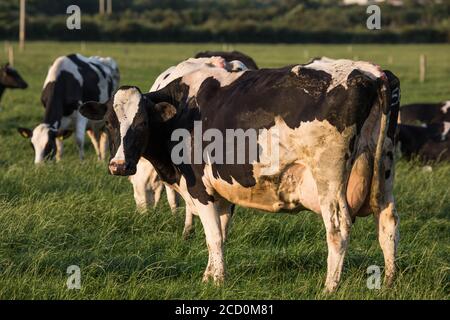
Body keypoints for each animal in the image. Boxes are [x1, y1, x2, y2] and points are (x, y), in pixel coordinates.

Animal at [80, 56, 400, 292]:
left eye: (143, 122)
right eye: (109, 122)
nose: (119, 165)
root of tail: (372, 72)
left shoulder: (200, 189)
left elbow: (213, 237)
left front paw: (217, 281)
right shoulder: (223, 190)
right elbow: (220, 233)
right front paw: (210, 276)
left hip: (329, 179)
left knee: (337, 228)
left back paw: (329, 287)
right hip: (384, 171)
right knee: (388, 222)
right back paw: (389, 281)